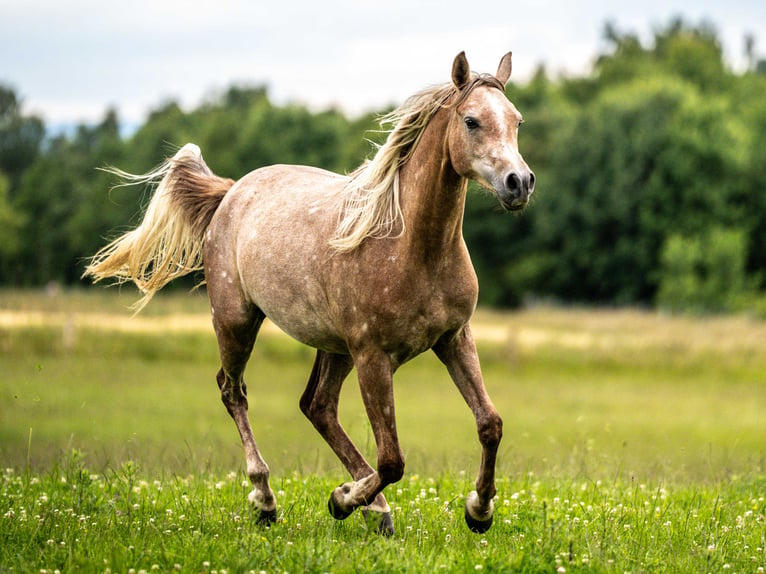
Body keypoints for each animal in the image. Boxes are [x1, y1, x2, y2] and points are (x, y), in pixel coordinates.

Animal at [85, 50, 536, 536]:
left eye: (517, 120)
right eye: (471, 121)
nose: (519, 182)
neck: (415, 246)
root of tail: (231, 192)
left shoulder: (454, 338)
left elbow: (489, 424)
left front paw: (479, 510)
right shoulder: (373, 357)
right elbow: (392, 460)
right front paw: (341, 501)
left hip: (333, 347)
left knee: (316, 406)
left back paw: (371, 508)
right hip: (237, 322)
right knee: (234, 391)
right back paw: (268, 500)